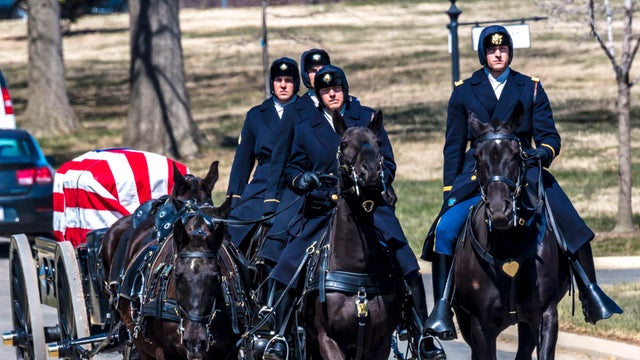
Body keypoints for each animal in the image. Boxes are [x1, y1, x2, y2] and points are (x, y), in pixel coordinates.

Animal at [452, 107, 572, 360]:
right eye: (477, 157)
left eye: (517, 155)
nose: (500, 212)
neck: (508, 245)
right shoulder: (480, 324)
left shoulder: (545, 315)